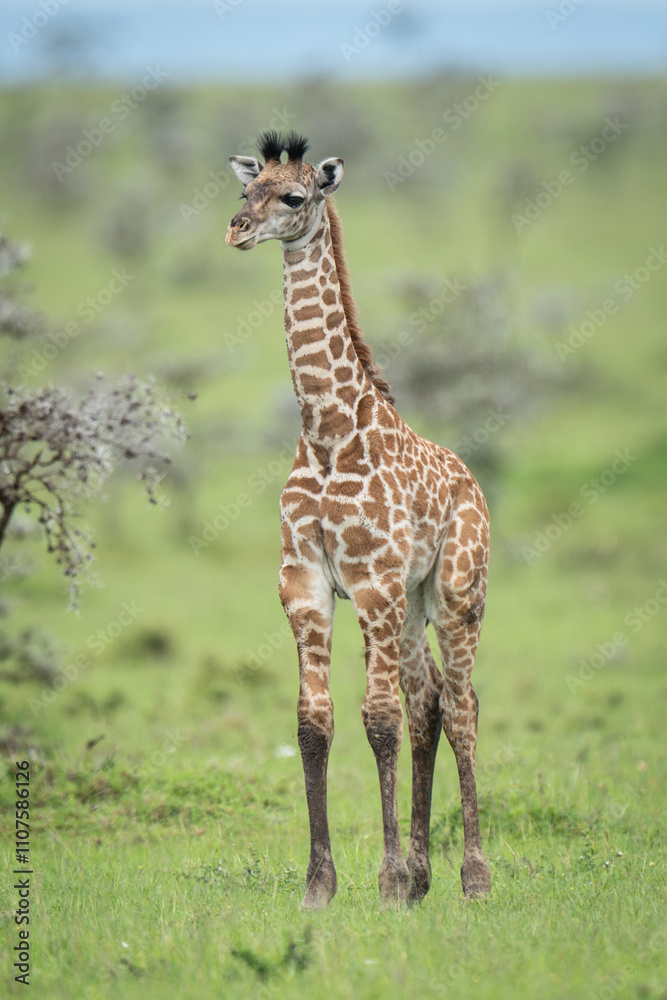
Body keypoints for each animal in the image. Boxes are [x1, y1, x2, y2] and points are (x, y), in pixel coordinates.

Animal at [226, 131, 491, 909]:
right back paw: (428, 877)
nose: (236, 230)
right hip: (410, 606)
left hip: (455, 595)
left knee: (460, 706)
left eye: (294, 196)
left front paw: (387, 879)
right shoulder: (305, 583)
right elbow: (314, 722)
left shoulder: (371, 582)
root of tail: (474, 483)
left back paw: (471, 875)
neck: (326, 428)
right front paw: (323, 885)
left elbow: (378, 721)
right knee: (428, 701)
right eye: (245, 191)